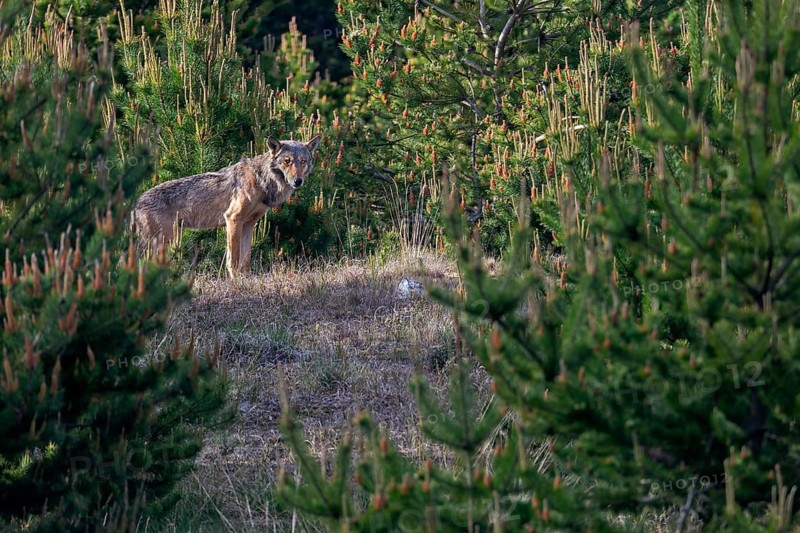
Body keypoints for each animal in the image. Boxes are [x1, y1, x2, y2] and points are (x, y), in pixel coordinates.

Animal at [134, 136, 320, 278]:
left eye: (303, 161)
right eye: (287, 161)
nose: (298, 181)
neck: (261, 180)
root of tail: (137, 203)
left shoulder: (248, 224)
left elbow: (246, 258)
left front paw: (246, 279)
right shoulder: (233, 219)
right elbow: (234, 258)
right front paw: (236, 280)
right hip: (162, 243)